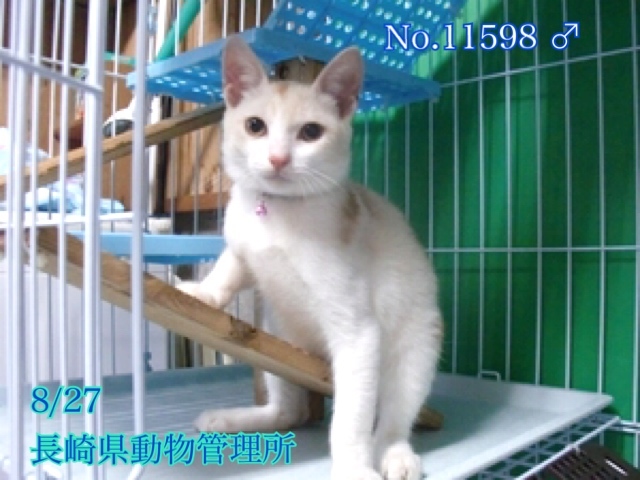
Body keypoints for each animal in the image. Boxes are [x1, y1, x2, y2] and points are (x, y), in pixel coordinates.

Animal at [178, 36, 443, 480]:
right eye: (255, 126)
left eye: (311, 132)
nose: (278, 159)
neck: (278, 211)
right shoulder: (244, 246)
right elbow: (230, 267)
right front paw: (205, 293)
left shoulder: (358, 333)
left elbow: (351, 420)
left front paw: (353, 467)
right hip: (276, 341)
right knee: (291, 412)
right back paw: (235, 418)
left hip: (416, 345)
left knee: (392, 416)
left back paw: (395, 454)